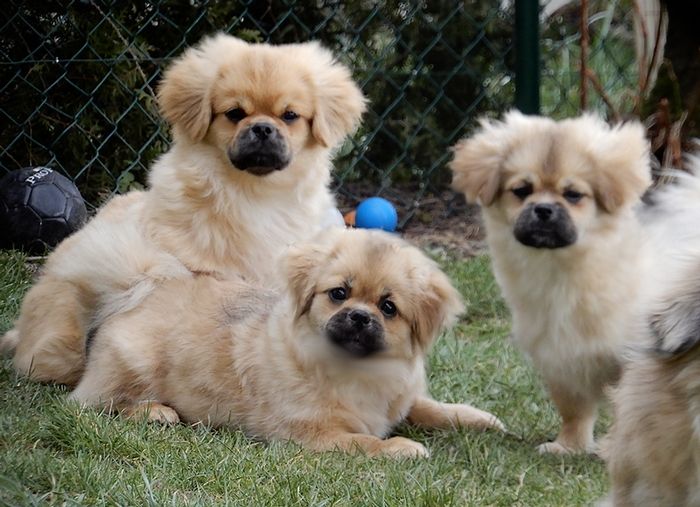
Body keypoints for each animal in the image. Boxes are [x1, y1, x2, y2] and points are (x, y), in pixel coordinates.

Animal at [68, 228, 505, 458]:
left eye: (388, 307)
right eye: (339, 294)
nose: (360, 317)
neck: (356, 372)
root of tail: (140, 288)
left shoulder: (401, 400)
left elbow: (430, 407)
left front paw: (479, 419)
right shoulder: (314, 437)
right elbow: (365, 441)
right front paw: (401, 447)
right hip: (132, 367)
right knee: (92, 404)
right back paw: (155, 412)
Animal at [449, 111, 652, 454]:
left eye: (573, 195)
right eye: (521, 190)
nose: (543, 209)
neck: (561, 273)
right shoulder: (560, 359)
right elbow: (574, 409)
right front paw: (569, 447)